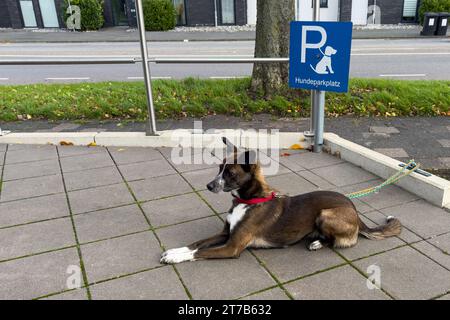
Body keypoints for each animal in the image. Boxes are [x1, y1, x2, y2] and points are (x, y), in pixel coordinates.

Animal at [161, 136, 400, 264]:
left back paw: (317, 243)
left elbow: (200, 251)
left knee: (342, 241)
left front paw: (175, 258)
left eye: (230, 173)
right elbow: (196, 244)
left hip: (326, 214)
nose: (209, 186)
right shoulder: (225, 234)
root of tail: (355, 211)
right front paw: (176, 251)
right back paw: (315, 239)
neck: (248, 201)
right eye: (219, 168)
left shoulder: (232, 247)